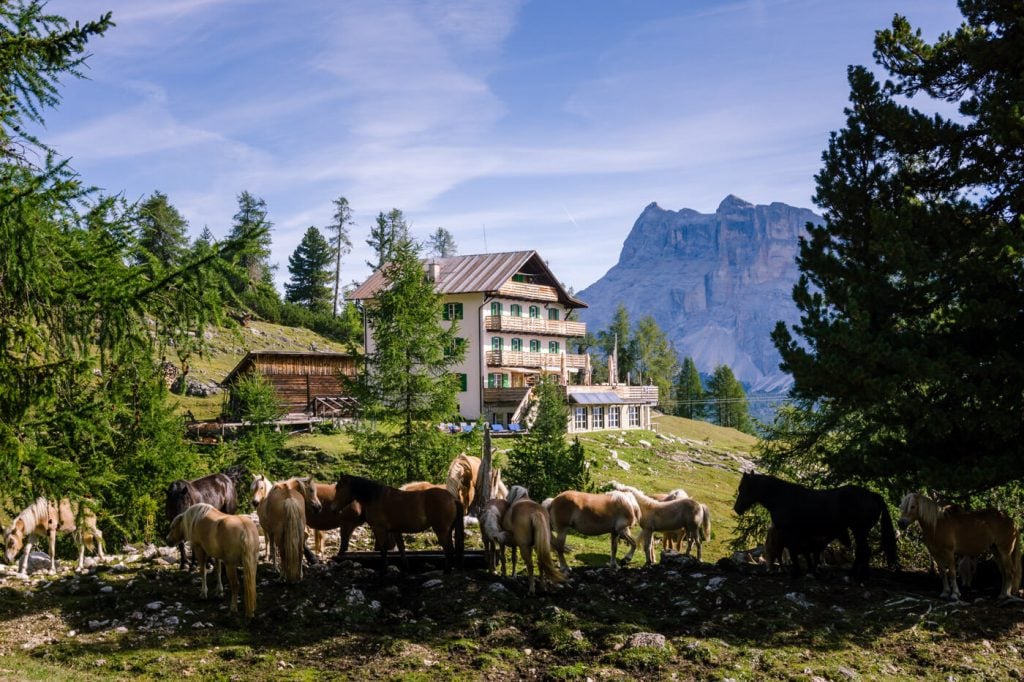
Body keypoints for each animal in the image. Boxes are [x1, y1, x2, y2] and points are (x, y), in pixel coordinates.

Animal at [331, 473, 464, 573]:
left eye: (339, 488)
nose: (333, 509)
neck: (375, 497)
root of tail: (452, 498)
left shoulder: (379, 529)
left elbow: (383, 550)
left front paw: (383, 570)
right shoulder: (395, 531)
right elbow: (401, 549)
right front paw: (405, 569)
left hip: (441, 531)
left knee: (449, 550)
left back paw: (447, 571)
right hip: (448, 531)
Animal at [737, 471, 897, 577]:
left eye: (743, 488)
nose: (736, 508)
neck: (782, 497)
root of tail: (873, 495)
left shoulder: (790, 533)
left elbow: (793, 552)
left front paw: (796, 572)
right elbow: (801, 553)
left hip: (860, 530)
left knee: (864, 551)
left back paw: (856, 574)